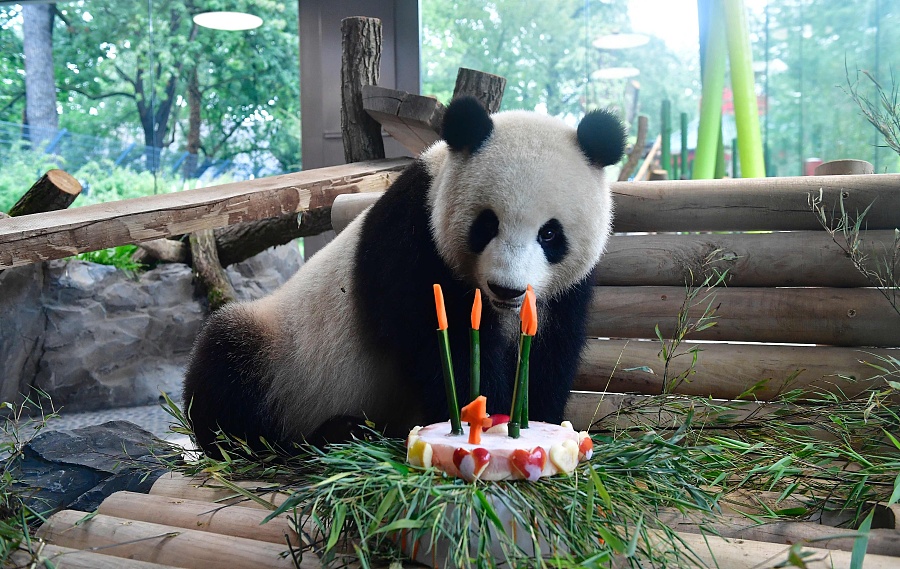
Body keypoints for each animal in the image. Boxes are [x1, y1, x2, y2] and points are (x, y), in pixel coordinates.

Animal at [183, 95, 624, 454]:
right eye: (486, 225)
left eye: (550, 233)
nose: (507, 288)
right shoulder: (414, 245)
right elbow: (445, 347)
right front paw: (487, 417)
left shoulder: (566, 290)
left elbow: (551, 350)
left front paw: (537, 419)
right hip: (280, 354)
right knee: (224, 369)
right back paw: (308, 436)